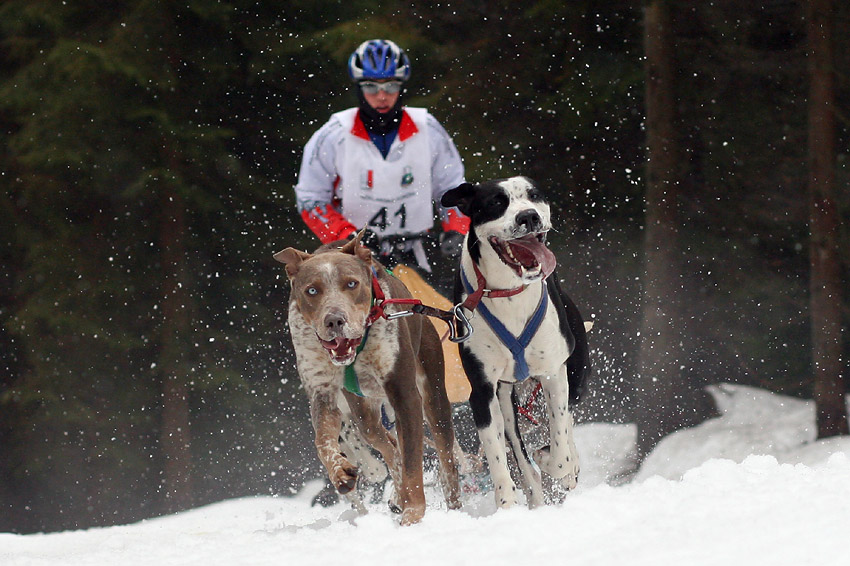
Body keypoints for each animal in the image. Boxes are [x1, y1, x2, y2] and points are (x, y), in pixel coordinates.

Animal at [438, 178, 588, 510]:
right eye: (496, 202)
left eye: (534, 196)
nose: (528, 216)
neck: (507, 292)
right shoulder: (482, 391)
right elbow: (499, 460)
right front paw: (507, 505)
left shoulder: (553, 373)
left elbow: (560, 450)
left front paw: (553, 459)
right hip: (505, 398)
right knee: (518, 450)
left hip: (575, 375)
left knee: (567, 425)